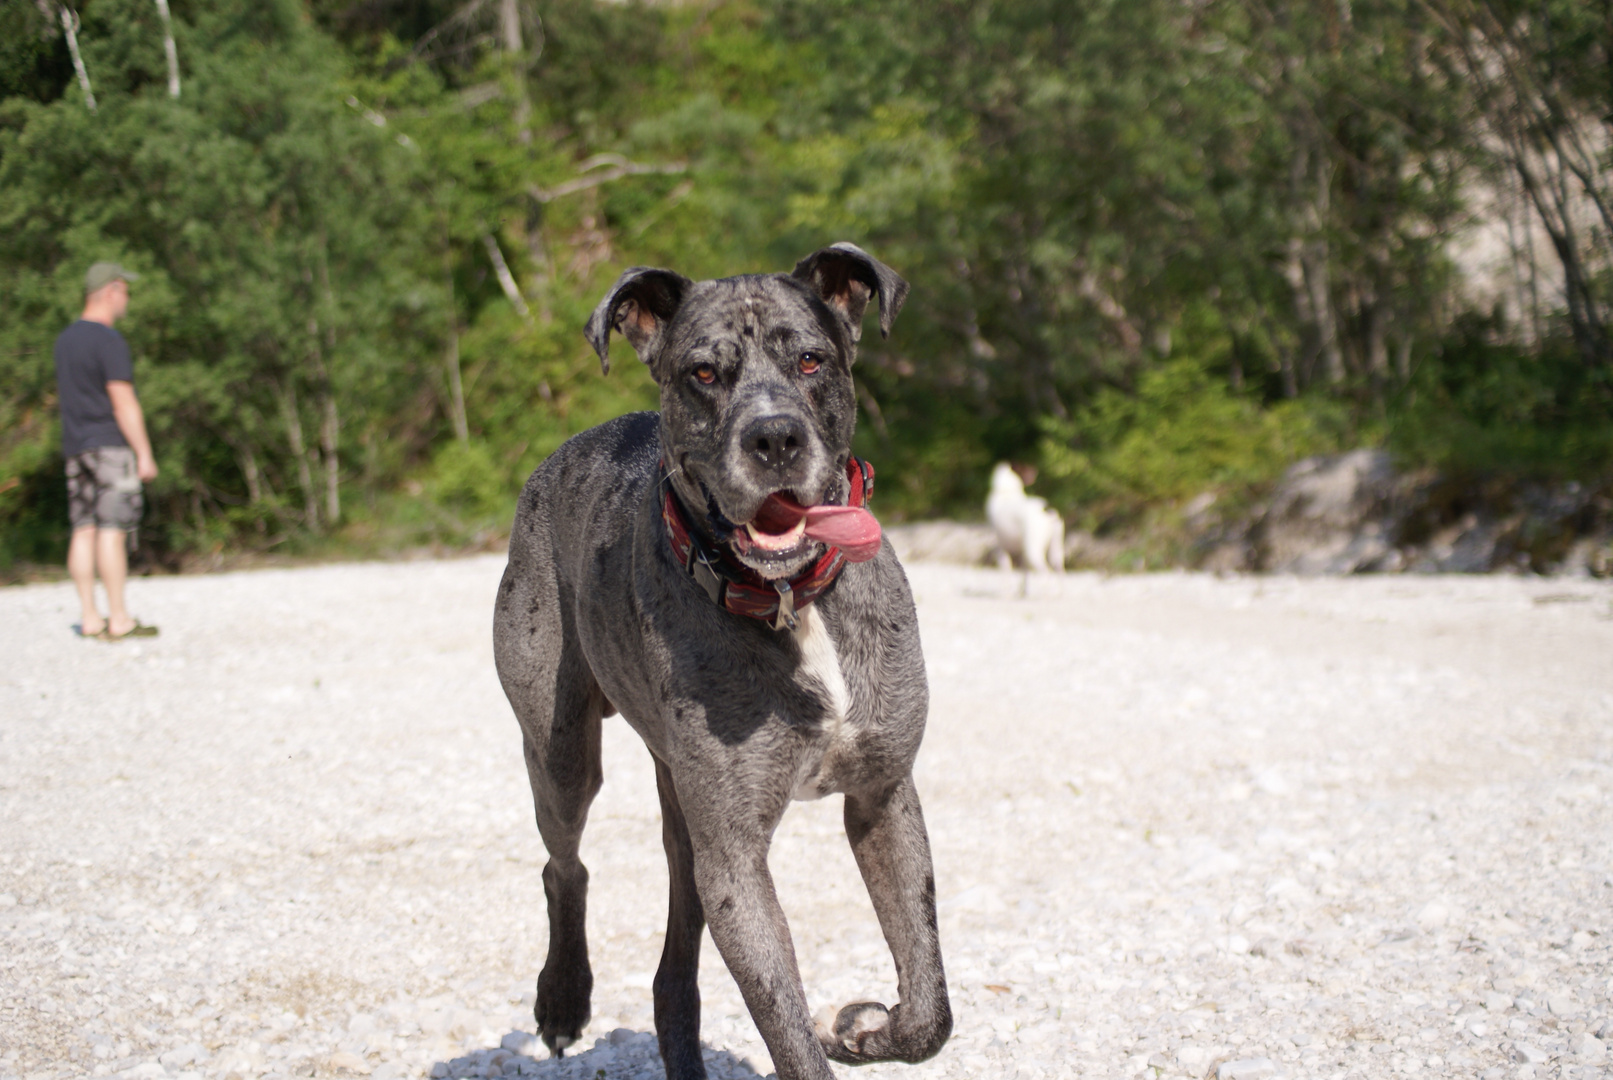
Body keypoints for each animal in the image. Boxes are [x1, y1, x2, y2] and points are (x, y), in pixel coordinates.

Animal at [487, 243, 941, 1080]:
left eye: (809, 359)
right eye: (702, 372)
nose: (774, 439)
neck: (788, 596)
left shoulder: (881, 797)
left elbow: (930, 1007)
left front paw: (866, 1031)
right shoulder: (734, 861)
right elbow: (791, 1037)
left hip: (684, 823)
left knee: (671, 973)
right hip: (562, 754)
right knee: (563, 864)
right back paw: (562, 998)